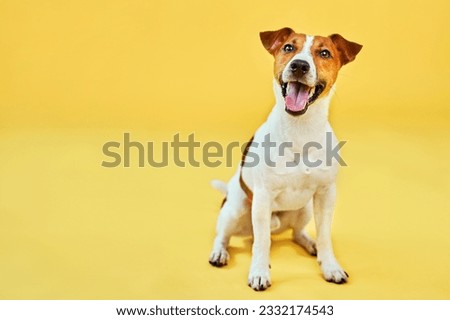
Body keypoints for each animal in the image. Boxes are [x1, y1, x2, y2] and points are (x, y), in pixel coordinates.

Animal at [208, 28, 362, 292]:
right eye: (289, 47)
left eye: (324, 53)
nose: (299, 65)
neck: (300, 130)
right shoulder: (262, 196)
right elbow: (261, 243)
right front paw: (259, 272)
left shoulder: (326, 194)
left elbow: (325, 236)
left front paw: (330, 266)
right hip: (236, 208)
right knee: (225, 235)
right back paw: (219, 253)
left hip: (305, 208)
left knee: (296, 233)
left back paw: (310, 244)